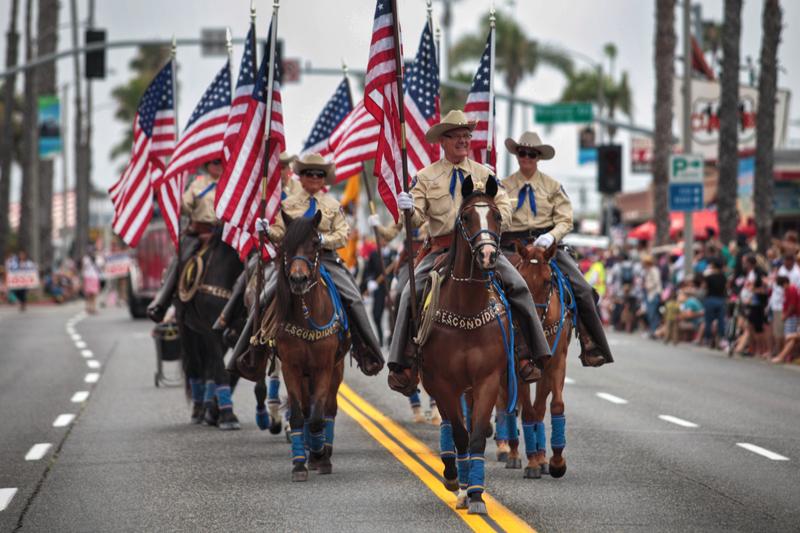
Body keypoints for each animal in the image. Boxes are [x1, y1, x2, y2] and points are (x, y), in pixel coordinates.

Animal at [177, 229, 244, 428]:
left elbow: (233, 372)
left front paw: (216, 411)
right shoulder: (212, 331)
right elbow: (221, 371)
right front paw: (227, 416)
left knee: (209, 368)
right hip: (188, 331)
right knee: (196, 366)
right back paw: (199, 411)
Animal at [270, 210, 348, 480]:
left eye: (315, 242)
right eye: (285, 244)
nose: (298, 279)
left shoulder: (323, 367)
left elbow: (316, 417)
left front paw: (319, 455)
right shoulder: (291, 368)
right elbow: (298, 415)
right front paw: (299, 464)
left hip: (336, 369)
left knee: (328, 409)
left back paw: (324, 450)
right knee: (306, 408)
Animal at [412, 177, 512, 512]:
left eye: (497, 215)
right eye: (466, 217)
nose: (488, 256)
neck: (467, 308)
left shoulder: (487, 380)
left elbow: (477, 434)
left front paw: (477, 494)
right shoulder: (442, 382)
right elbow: (459, 433)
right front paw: (462, 485)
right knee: (448, 425)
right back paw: (454, 476)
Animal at [494, 241, 576, 478]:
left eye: (548, 280)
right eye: (521, 278)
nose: (533, 322)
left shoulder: (554, 364)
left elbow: (551, 407)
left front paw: (554, 461)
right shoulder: (519, 368)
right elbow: (529, 412)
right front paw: (531, 463)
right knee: (508, 406)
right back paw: (511, 452)